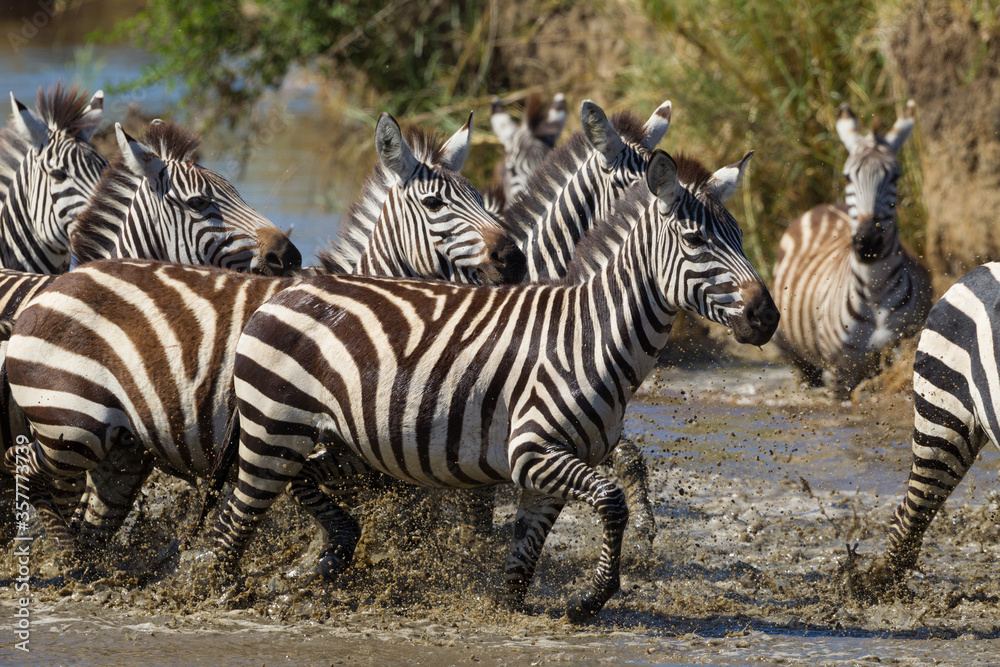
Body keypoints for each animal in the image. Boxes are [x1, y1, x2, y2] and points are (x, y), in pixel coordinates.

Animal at [209, 148, 778, 622]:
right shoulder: (532, 451)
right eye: (695, 240)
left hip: (338, 443)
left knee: (299, 481)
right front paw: (590, 599)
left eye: (740, 239)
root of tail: (286, 291)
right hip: (274, 428)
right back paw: (222, 593)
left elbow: (526, 551)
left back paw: (331, 554)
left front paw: (507, 604)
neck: (589, 337)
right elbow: (612, 499)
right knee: (234, 521)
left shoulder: (547, 468)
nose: (768, 317)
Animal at [772, 100, 932, 399]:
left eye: (895, 177)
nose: (867, 241)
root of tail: (824, 206)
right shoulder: (840, 375)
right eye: (848, 176)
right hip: (791, 349)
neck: (875, 288)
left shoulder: (901, 351)